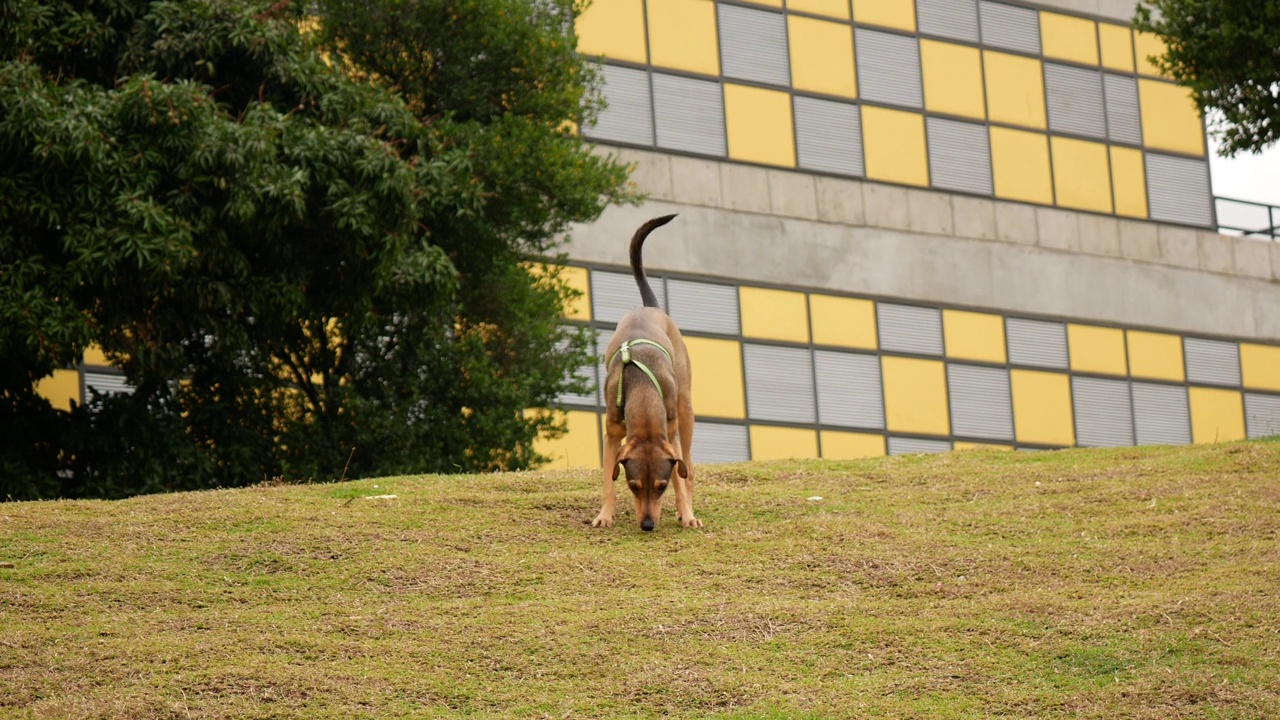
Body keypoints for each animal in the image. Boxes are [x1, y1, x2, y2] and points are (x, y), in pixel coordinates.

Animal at [588, 212, 701, 527]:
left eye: (660, 487)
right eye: (633, 486)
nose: (648, 525)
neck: (642, 388)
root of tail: (650, 307)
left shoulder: (671, 435)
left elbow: (679, 478)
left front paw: (686, 513)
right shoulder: (612, 434)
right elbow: (608, 479)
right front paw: (605, 514)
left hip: (685, 409)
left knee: (688, 470)